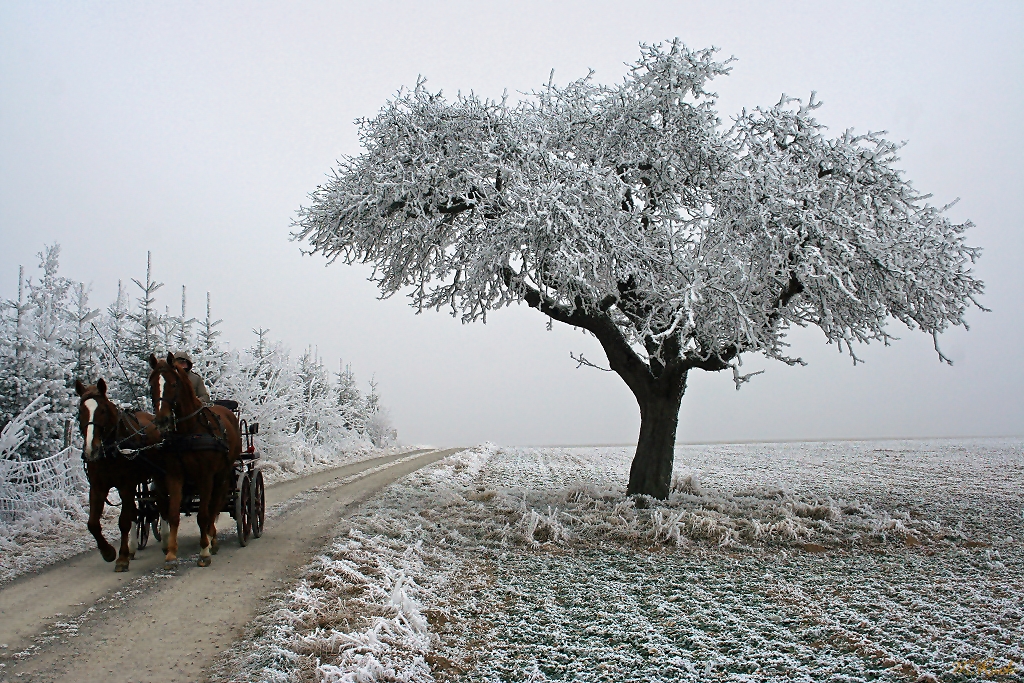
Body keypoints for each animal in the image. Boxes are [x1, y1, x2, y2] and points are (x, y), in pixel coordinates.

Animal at [75, 378, 164, 573]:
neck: (112, 449)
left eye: (102, 410)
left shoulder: (126, 486)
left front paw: (121, 558)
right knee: (137, 511)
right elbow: (93, 524)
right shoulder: (97, 487)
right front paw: (108, 552)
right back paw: (133, 546)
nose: (91, 449)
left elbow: (123, 521)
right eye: (80, 411)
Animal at [147, 352, 240, 565]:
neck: (188, 431)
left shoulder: (205, 476)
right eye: (151, 384)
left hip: (223, 474)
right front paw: (171, 552)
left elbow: (203, 515)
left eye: (174, 384)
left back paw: (212, 539)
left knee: (215, 505)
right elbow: (173, 514)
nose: (162, 420)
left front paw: (204, 551)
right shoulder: (174, 475)